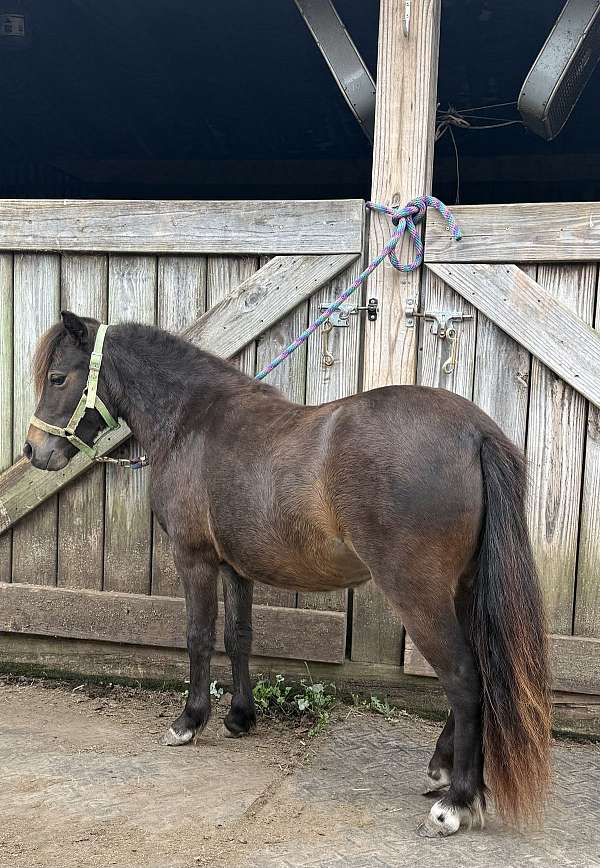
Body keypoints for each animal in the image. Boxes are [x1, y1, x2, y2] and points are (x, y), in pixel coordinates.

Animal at [25, 310, 551, 838]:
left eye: (58, 377)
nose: (33, 451)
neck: (193, 422)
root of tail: (475, 433)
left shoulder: (194, 558)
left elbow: (199, 637)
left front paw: (189, 721)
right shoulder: (235, 567)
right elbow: (238, 636)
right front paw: (240, 718)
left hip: (418, 593)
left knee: (462, 677)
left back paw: (457, 801)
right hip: (462, 588)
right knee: (476, 668)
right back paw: (444, 770)